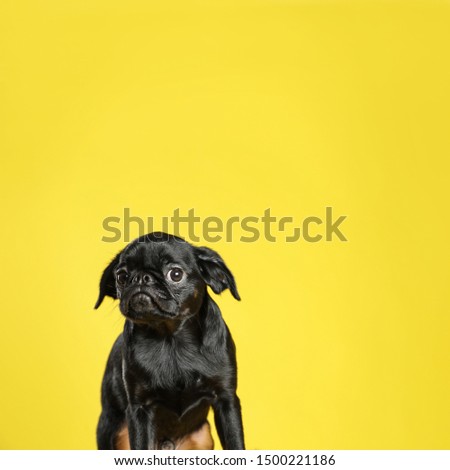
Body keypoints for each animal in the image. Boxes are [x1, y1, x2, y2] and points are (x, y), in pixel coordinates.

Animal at [93, 233, 244, 450]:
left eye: (175, 274)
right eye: (121, 276)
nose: (141, 278)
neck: (171, 339)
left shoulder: (226, 400)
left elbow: (235, 442)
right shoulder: (140, 409)